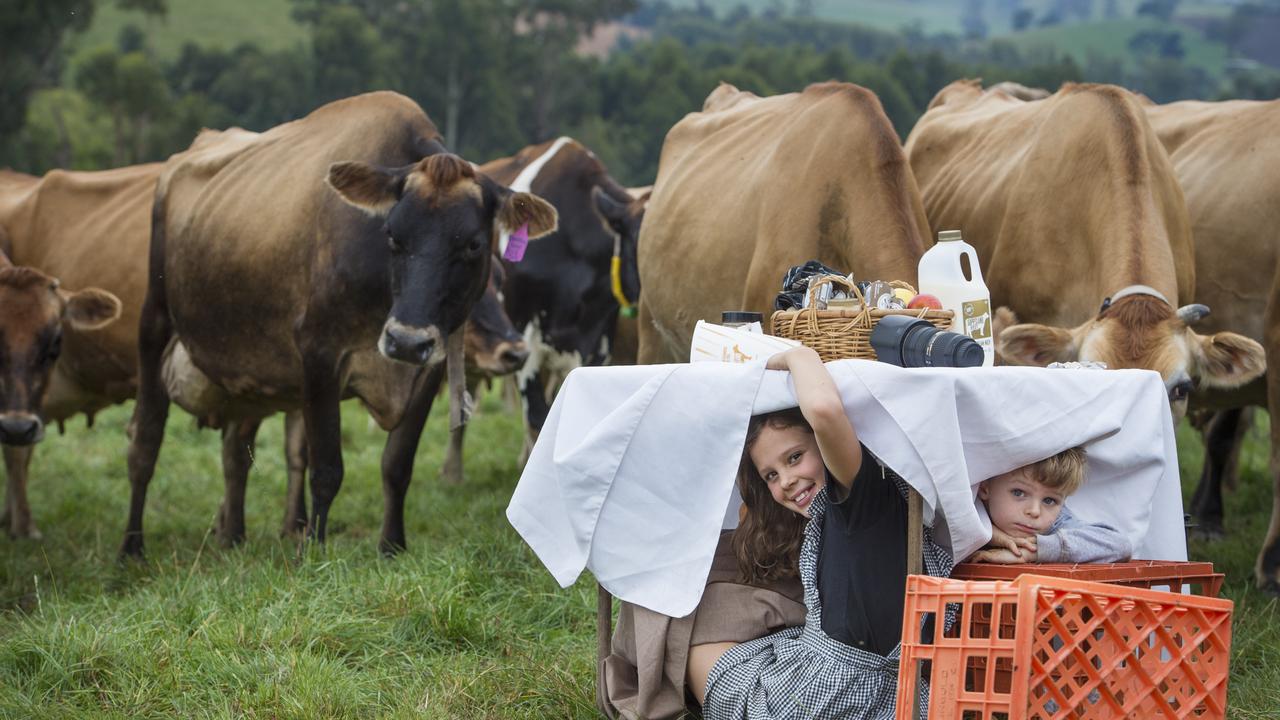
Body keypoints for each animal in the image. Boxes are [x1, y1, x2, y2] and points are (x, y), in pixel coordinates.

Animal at [126, 92, 560, 556]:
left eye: (474, 245)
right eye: (392, 235)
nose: (405, 342)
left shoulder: (429, 367)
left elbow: (397, 464)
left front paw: (391, 546)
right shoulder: (320, 355)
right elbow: (326, 469)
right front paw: (313, 549)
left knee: (235, 452)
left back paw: (232, 536)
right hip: (154, 324)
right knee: (144, 444)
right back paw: (131, 548)